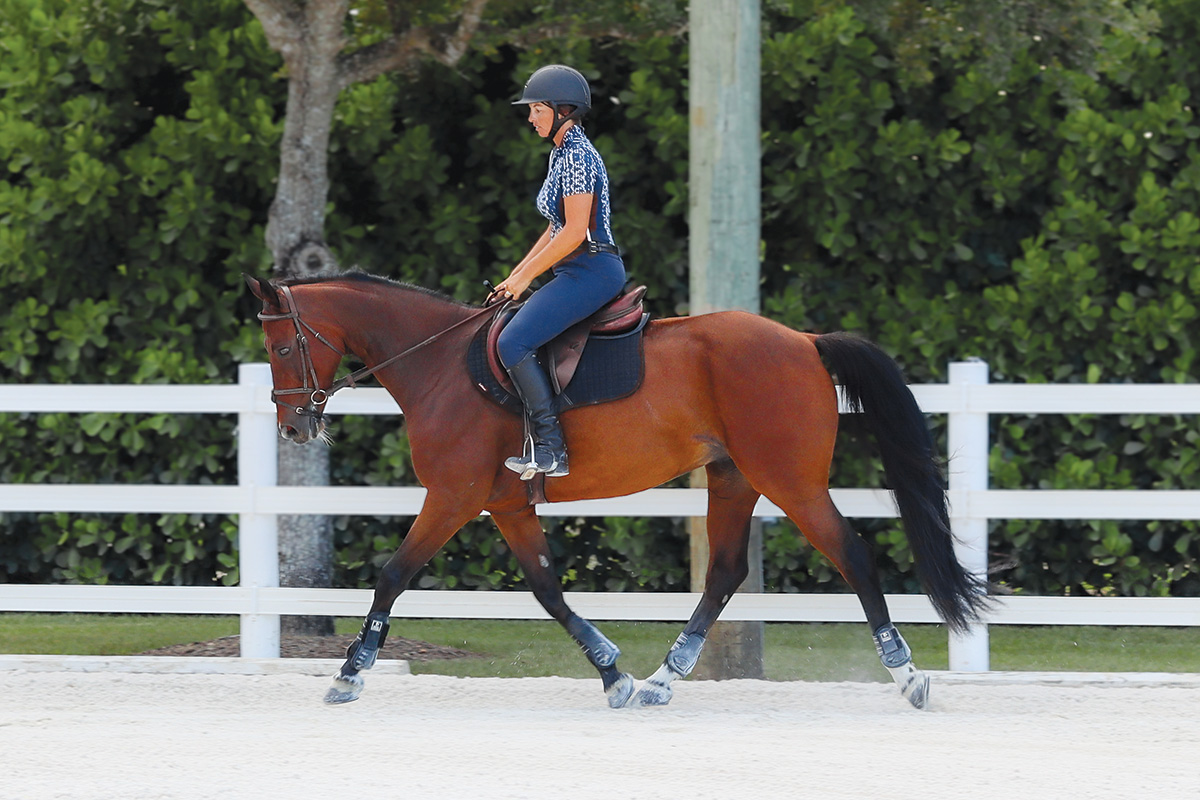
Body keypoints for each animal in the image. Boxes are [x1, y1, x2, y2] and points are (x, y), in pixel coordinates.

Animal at [246, 272, 993, 710]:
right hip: (734, 478)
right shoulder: (506, 503)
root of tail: (805, 341)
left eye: (281, 348)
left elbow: (392, 575)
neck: (437, 362)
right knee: (724, 571)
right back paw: (663, 677)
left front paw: (350, 672)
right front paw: (614, 672)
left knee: (852, 556)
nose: (293, 424)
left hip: (790, 481)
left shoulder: (454, 497)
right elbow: (548, 591)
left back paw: (908, 675)